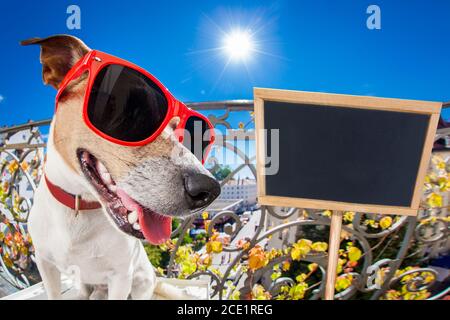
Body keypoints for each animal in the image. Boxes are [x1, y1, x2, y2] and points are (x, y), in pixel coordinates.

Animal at [22, 35, 221, 300]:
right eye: (132, 111)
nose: (208, 189)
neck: (78, 207)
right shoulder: (45, 263)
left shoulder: (120, 276)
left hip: (142, 280)